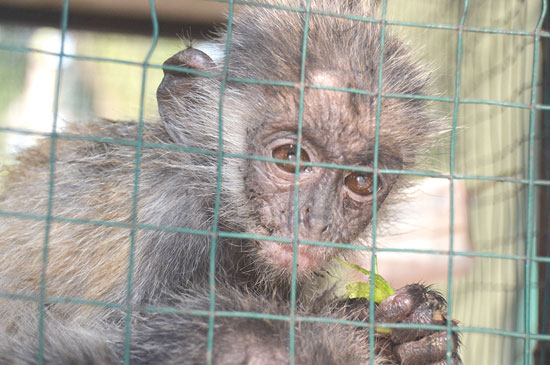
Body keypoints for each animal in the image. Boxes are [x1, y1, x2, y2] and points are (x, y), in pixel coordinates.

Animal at [0, 0, 462, 362]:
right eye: (290, 158)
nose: (315, 221)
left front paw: (416, 337)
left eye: (361, 182)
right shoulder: (169, 223)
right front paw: (358, 323)